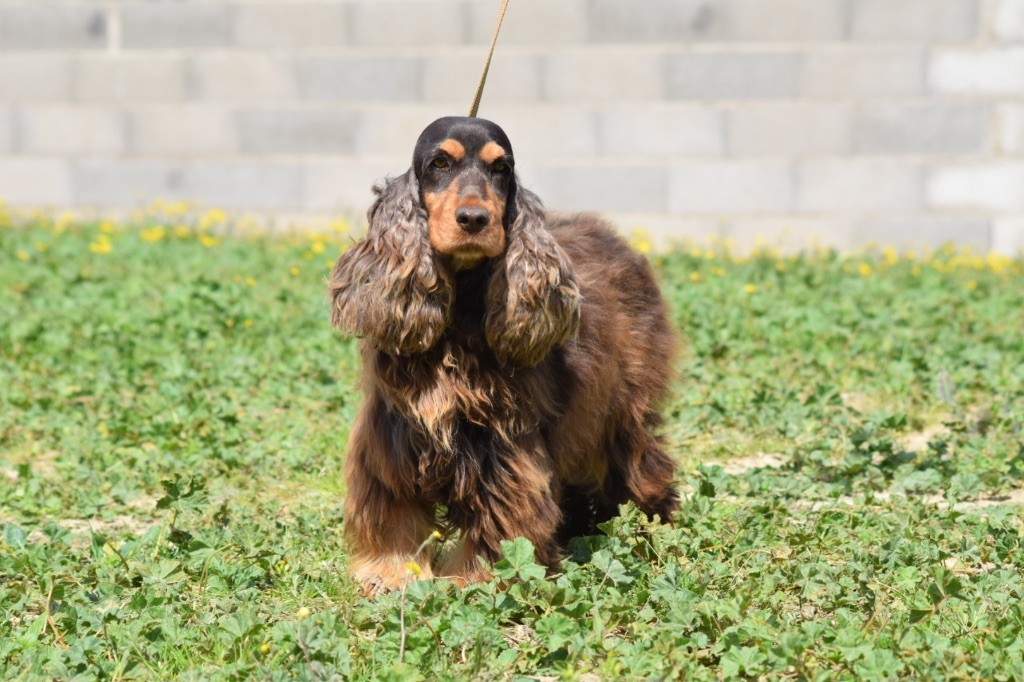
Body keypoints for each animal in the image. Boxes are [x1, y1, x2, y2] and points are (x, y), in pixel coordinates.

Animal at [329, 114, 679, 593]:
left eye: (501, 169)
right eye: (440, 163)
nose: (475, 218)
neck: (461, 303)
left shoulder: (504, 444)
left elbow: (498, 515)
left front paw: (477, 579)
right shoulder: (394, 433)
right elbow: (394, 506)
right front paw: (391, 572)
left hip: (621, 409)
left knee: (643, 464)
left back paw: (656, 524)